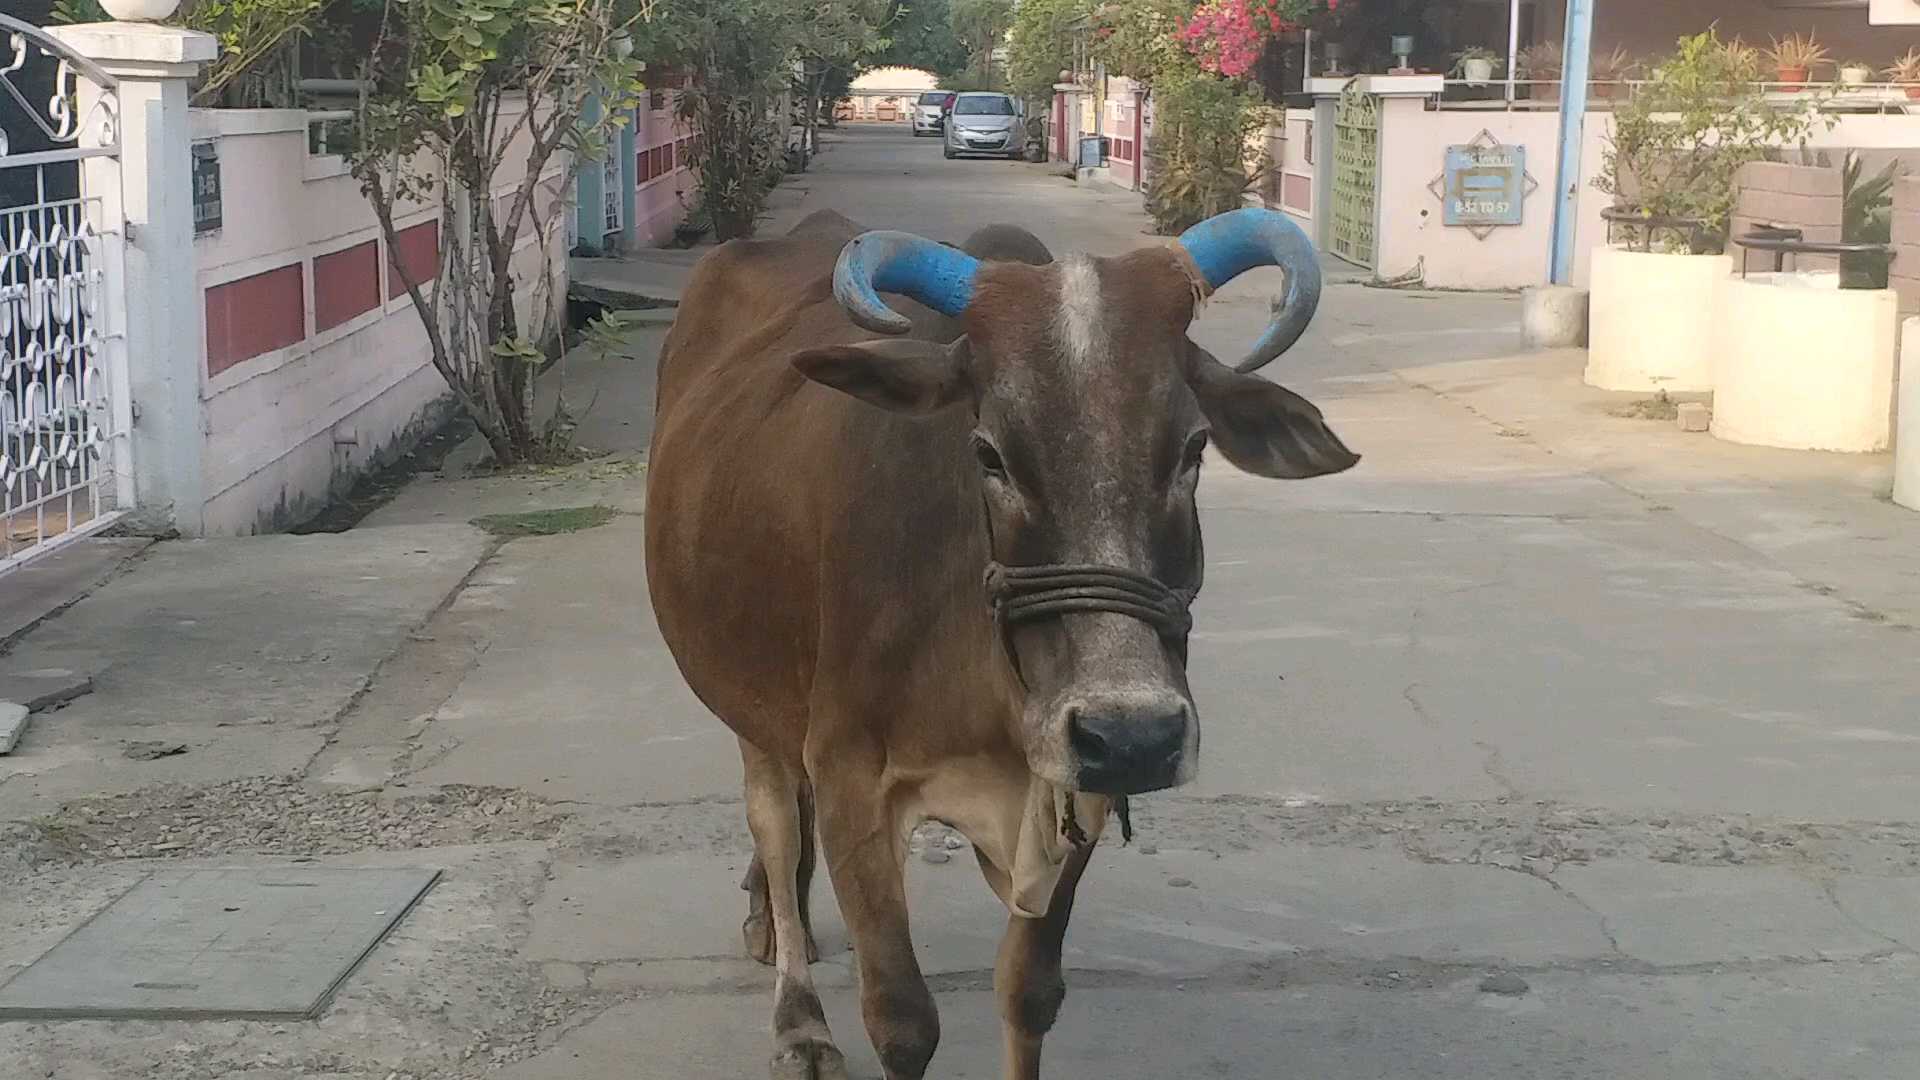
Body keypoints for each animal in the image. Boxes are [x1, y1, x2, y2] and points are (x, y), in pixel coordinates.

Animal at [652, 203, 1359, 1076]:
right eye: (988, 451)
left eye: (1194, 447)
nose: (1135, 736)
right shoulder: (853, 778)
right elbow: (903, 1019)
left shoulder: (1076, 788)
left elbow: (1027, 993)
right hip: (746, 697)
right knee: (777, 829)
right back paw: (798, 1016)